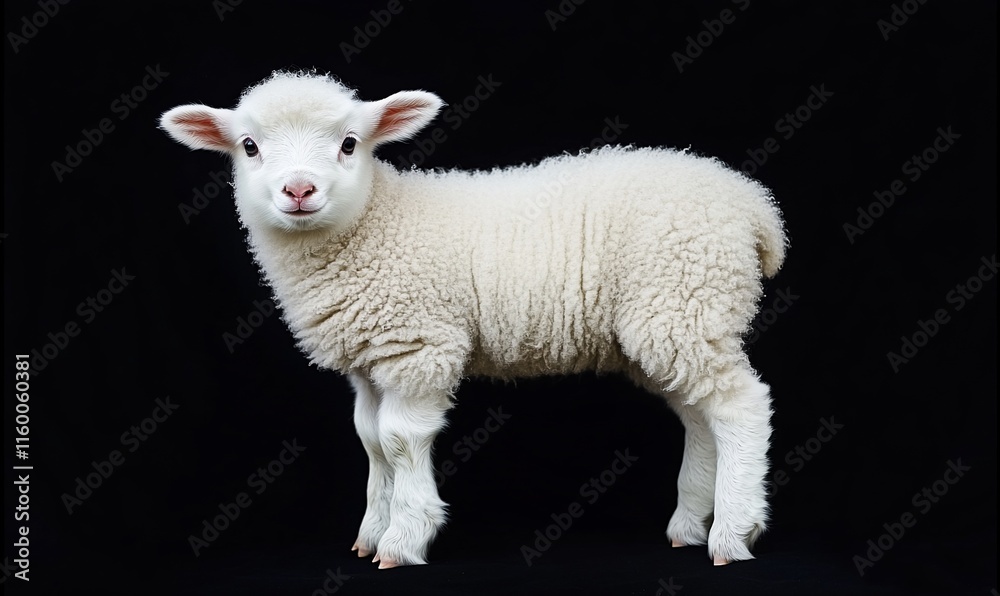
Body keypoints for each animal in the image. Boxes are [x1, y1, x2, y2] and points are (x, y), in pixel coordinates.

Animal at [159, 70, 787, 569]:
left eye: (348, 143)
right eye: (249, 146)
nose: (298, 189)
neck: (374, 222)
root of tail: (753, 205)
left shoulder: (417, 344)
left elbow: (400, 440)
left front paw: (403, 539)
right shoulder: (368, 360)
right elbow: (370, 440)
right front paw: (371, 533)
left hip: (685, 300)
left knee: (740, 408)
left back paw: (733, 532)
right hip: (676, 322)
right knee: (701, 417)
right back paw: (692, 523)